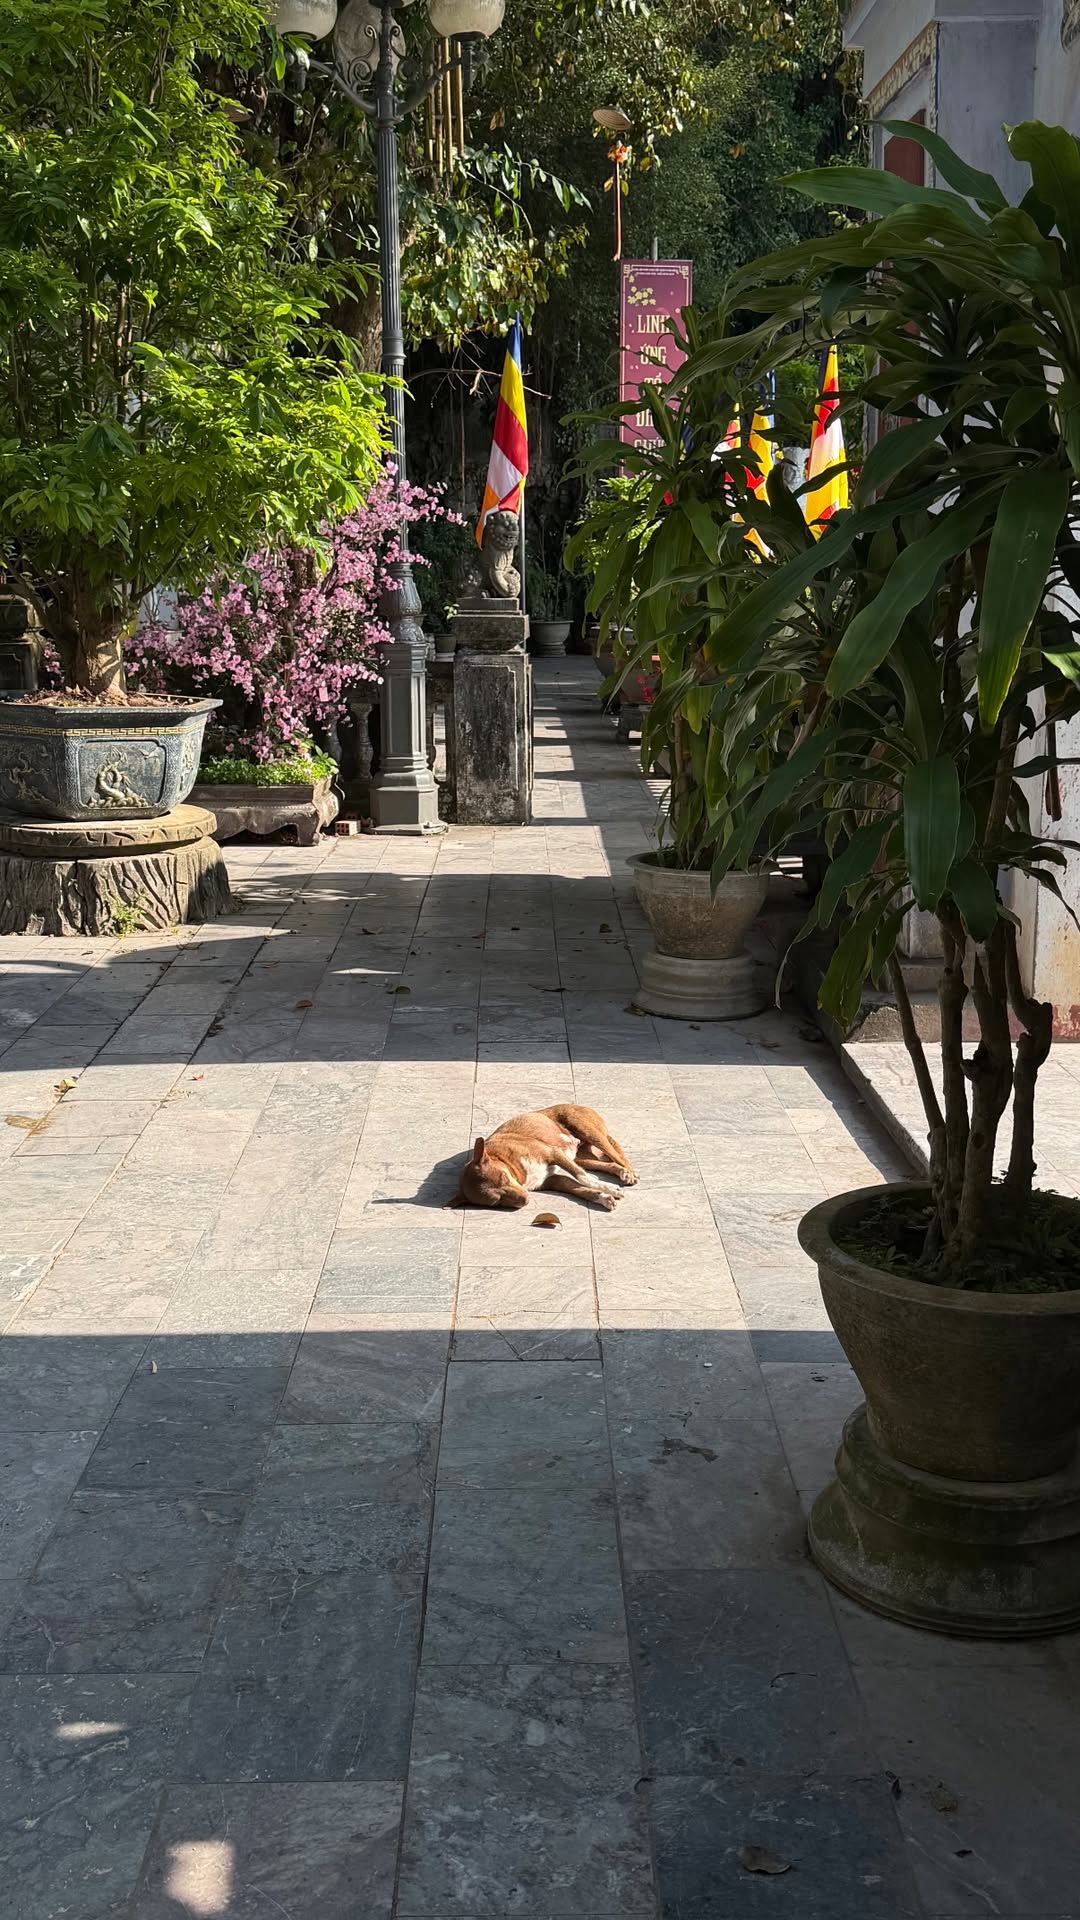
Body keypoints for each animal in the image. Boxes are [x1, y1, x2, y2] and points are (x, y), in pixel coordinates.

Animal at [454, 1103, 638, 1211]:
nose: (526, 1199)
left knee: (618, 1156)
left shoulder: (553, 1153)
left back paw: (629, 1173)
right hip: (580, 1158)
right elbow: (580, 1189)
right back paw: (621, 1172)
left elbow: (583, 1178)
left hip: (588, 1131)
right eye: (496, 1202)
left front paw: (610, 1188)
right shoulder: (553, 1181)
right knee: (607, 1163)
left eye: (503, 1177)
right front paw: (604, 1198)